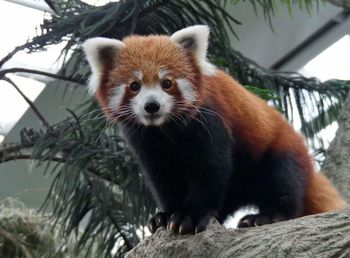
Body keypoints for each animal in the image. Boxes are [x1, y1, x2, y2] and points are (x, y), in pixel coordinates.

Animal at [82, 25, 348, 234]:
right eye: (135, 86)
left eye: (167, 83)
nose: (152, 106)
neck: (165, 130)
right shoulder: (146, 143)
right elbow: (164, 178)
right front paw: (166, 215)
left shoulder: (209, 122)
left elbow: (210, 169)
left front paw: (190, 216)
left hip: (279, 150)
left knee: (283, 181)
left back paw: (267, 216)